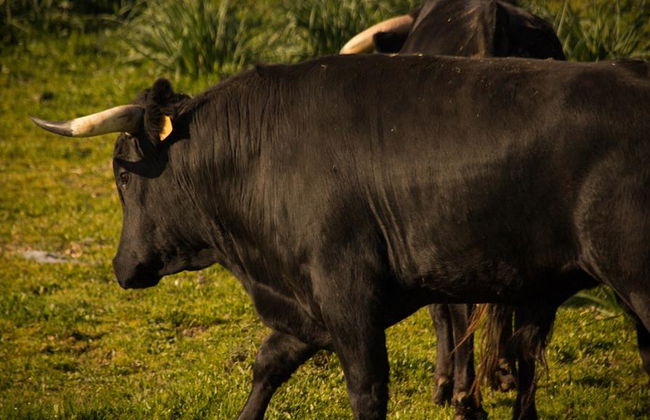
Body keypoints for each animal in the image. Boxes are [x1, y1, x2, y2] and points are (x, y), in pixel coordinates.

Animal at [33, 54, 650, 420]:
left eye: (121, 173)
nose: (123, 267)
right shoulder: (308, 303)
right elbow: (268, 364)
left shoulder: (347, 293)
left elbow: (367, 390)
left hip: (636, 280)